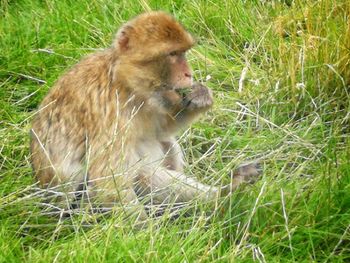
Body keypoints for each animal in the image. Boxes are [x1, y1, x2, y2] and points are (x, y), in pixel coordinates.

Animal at [30, 11, 262, 224]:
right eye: (173, 54)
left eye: (183, 53)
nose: (188, 73)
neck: (125, 83)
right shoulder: (112, 111)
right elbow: (109, 183)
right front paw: (149, 233)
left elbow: (160, 129)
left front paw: (199, 96)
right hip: (81, 208)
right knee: (141, 173)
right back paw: (221, 197)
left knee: (167, 143)